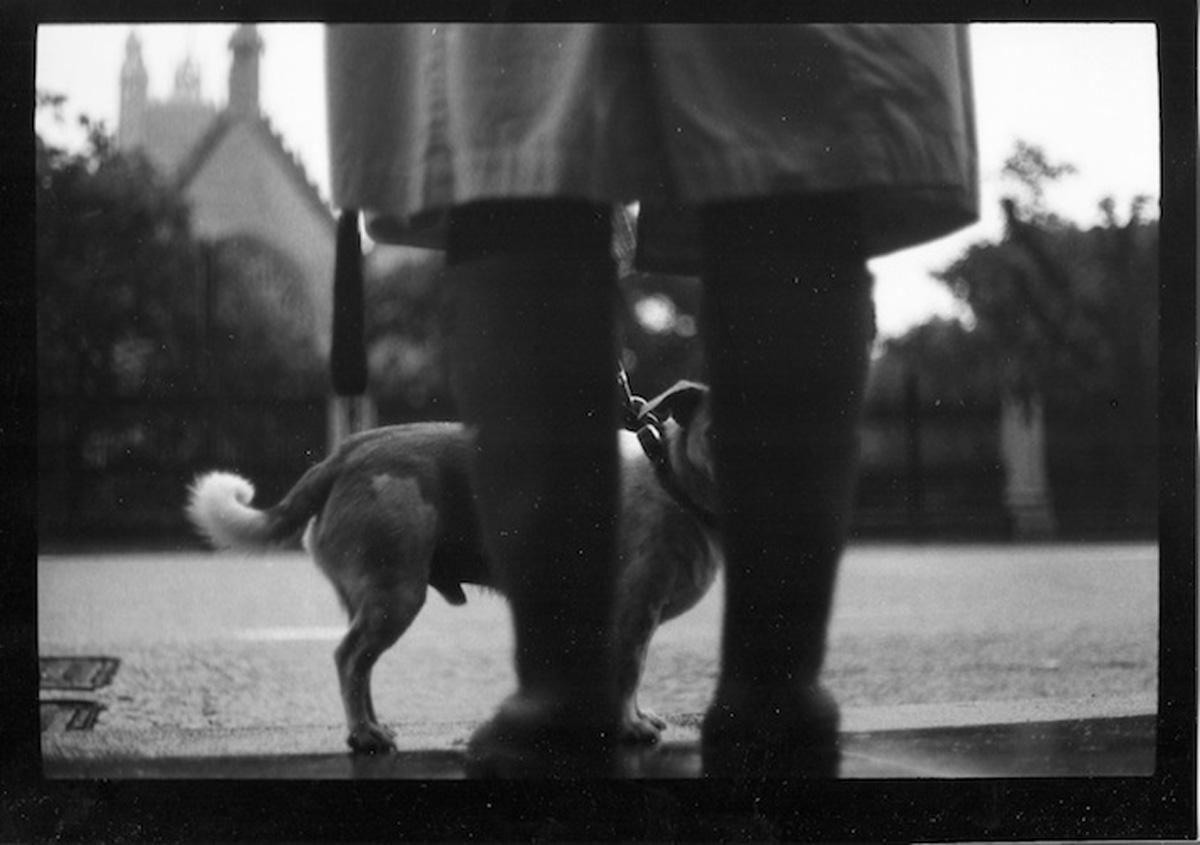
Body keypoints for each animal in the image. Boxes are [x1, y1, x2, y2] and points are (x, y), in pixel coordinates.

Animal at [187, 379, 720, 753]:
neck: (672, 481)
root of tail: (347, 453)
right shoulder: (633, 611)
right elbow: (630, 671)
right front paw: (630, 725)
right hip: (397, 594)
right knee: (348, 659)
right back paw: (364, 735)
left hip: (378, 600)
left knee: (361, 666)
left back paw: (374, 726)